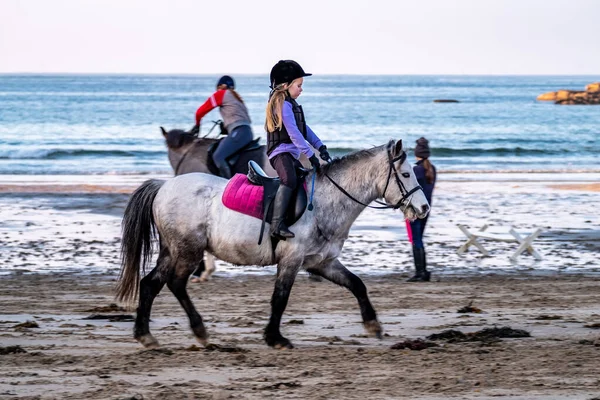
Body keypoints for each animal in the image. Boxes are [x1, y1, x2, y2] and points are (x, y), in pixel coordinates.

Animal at [116, 141, 426, 350]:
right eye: (406, 174)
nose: (424, 208)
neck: (326, 201)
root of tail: (163, 186)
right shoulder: (292, 259)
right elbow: (280, 298)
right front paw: (275, 338)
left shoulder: (322, 262)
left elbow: (357, 285)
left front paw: (373, 325)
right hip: (188, 251)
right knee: (176, 284)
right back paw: (199, 330)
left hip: (172, 251)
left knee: (150, 284)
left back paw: (146, 335)